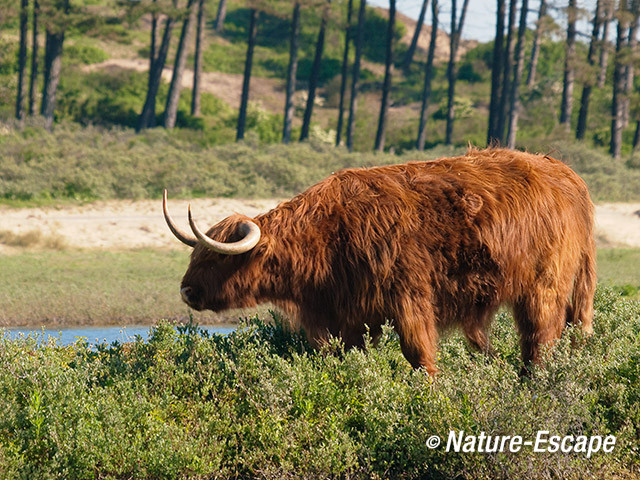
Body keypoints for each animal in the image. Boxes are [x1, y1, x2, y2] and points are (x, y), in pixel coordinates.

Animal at [164, 148, 596, 374]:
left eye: (217, 258)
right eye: (195, 253)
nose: (186, 290)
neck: (329, 235)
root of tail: (564, 173)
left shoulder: (409, 300)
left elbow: (420, 356)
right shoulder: (347, 318)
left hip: (544, 287)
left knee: (541, 340)